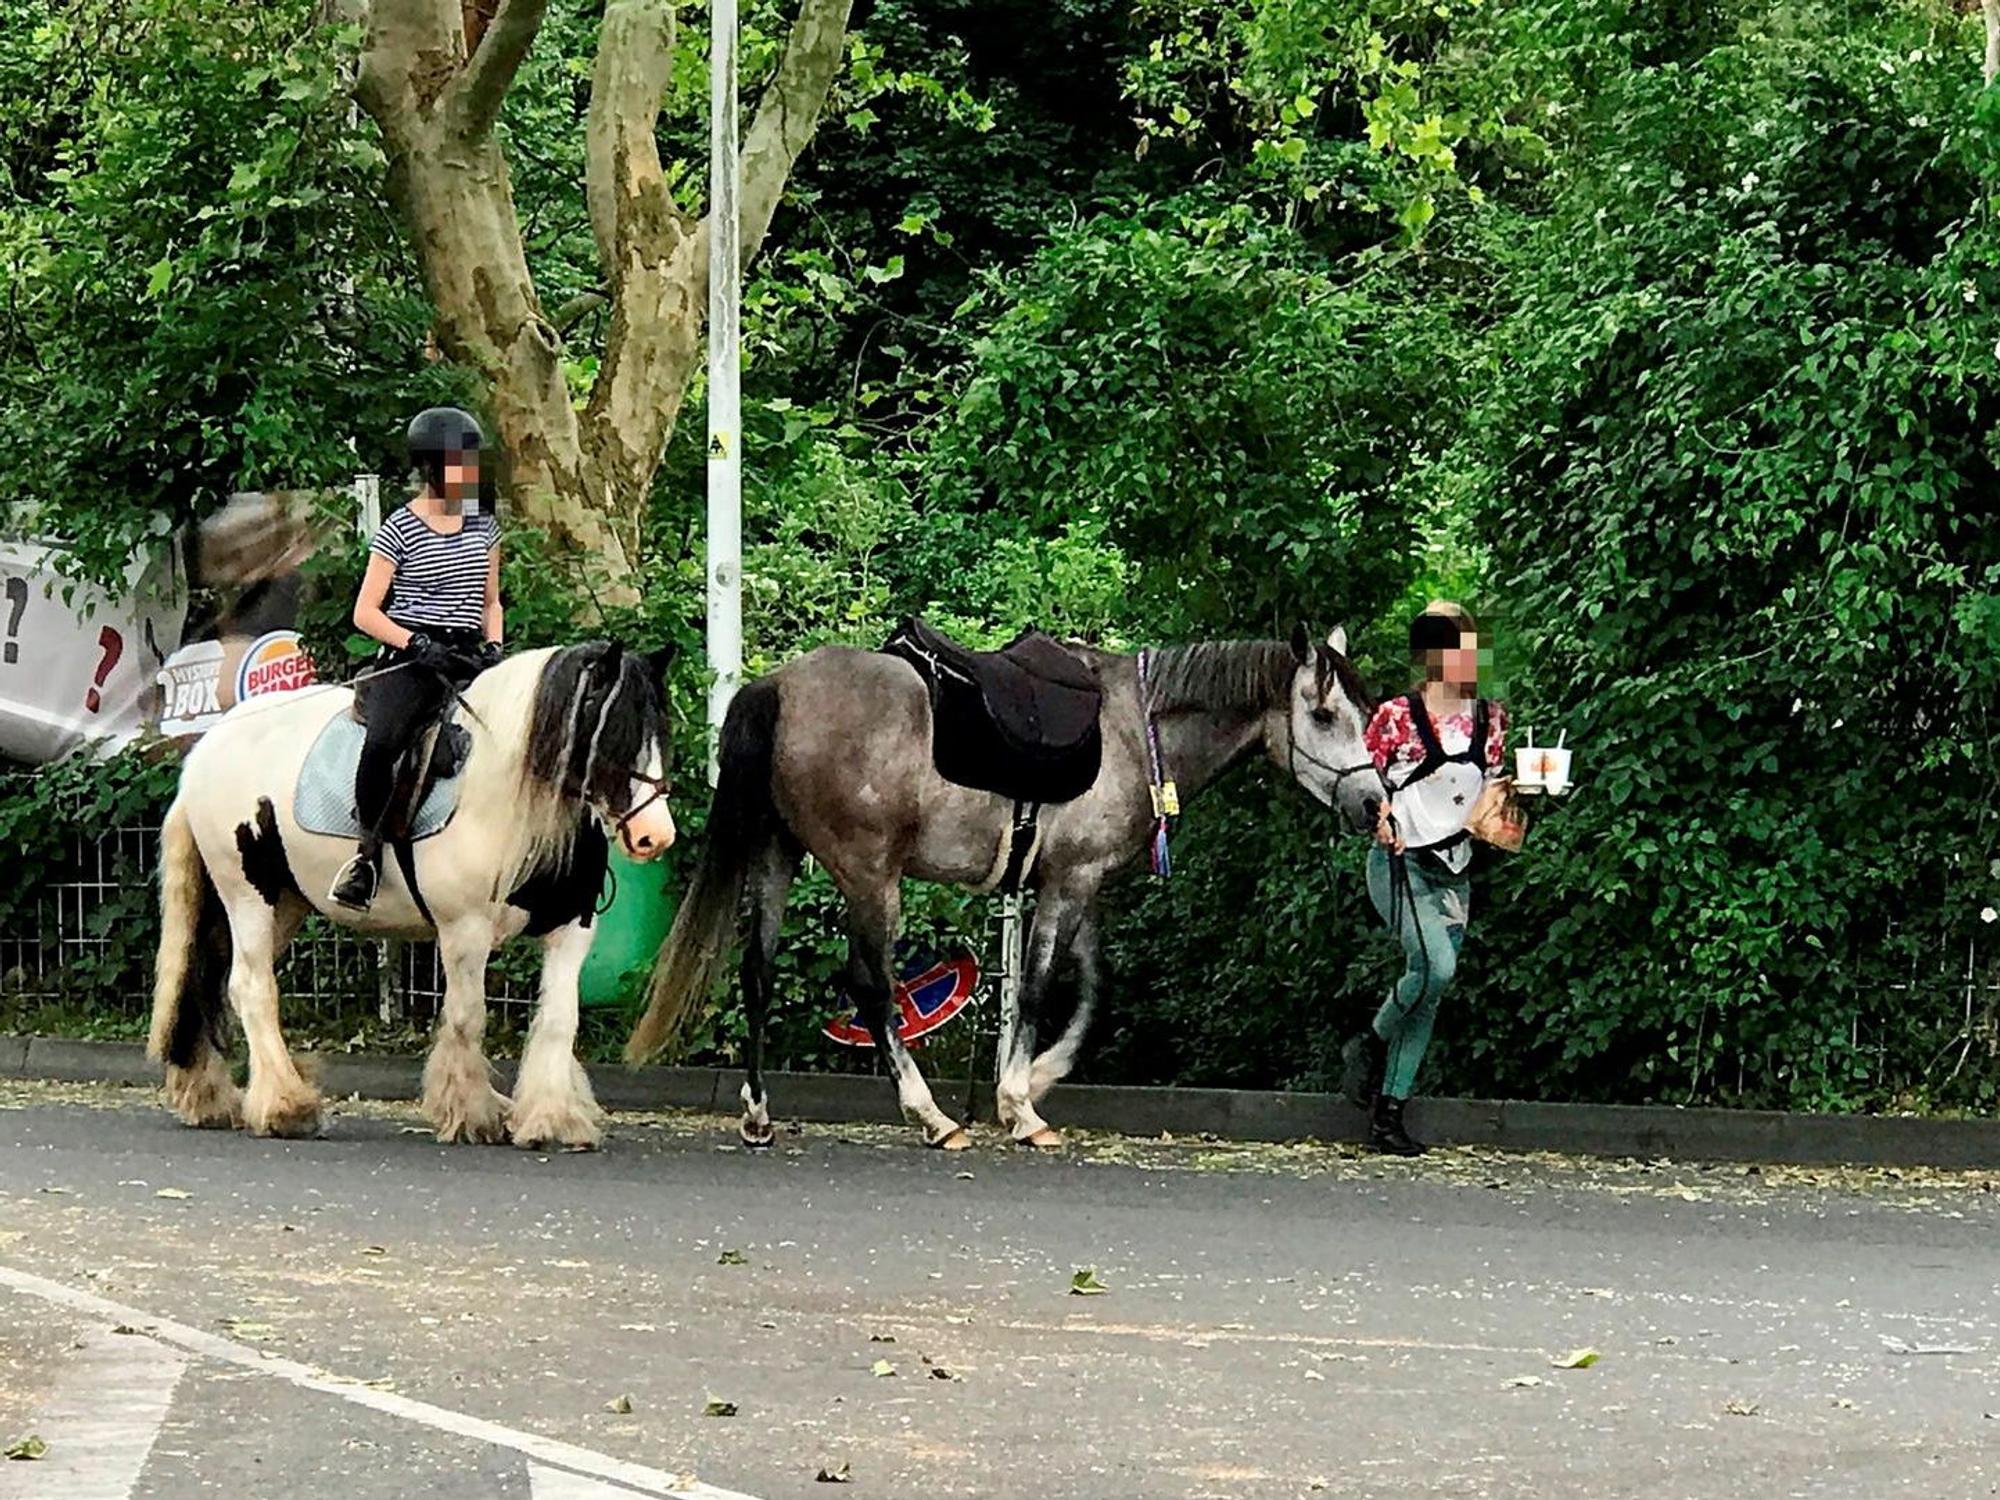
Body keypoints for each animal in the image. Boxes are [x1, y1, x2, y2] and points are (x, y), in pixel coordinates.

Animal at [147, 641, 678, 1149]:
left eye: (660, 731)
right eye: (612, 732)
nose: (654, 837)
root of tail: (206, 748)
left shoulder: (572, 928)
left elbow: (559, 1020)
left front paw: (552, 1119)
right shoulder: (465, 931)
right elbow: (468, 1018)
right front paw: (472, 1113)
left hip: (282, 903)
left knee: (213, 981)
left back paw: (209, 1097)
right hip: (247, 896)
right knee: (251, 988)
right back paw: (285, 1107)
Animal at [625, 622, 1381, 1149]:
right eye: (1323, 715)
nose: (1375, 803)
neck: (1135, 732)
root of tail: (780, 687)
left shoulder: (1071, 885)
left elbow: (1086, 991)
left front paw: (1033, 1079)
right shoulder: (1070, 882)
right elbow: (1042, 989)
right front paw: (1020, 1102)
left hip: (778, 855)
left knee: (756, 972)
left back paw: (758, 1113)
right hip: (870, 876)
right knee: (871, 986)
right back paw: (931, 1116)